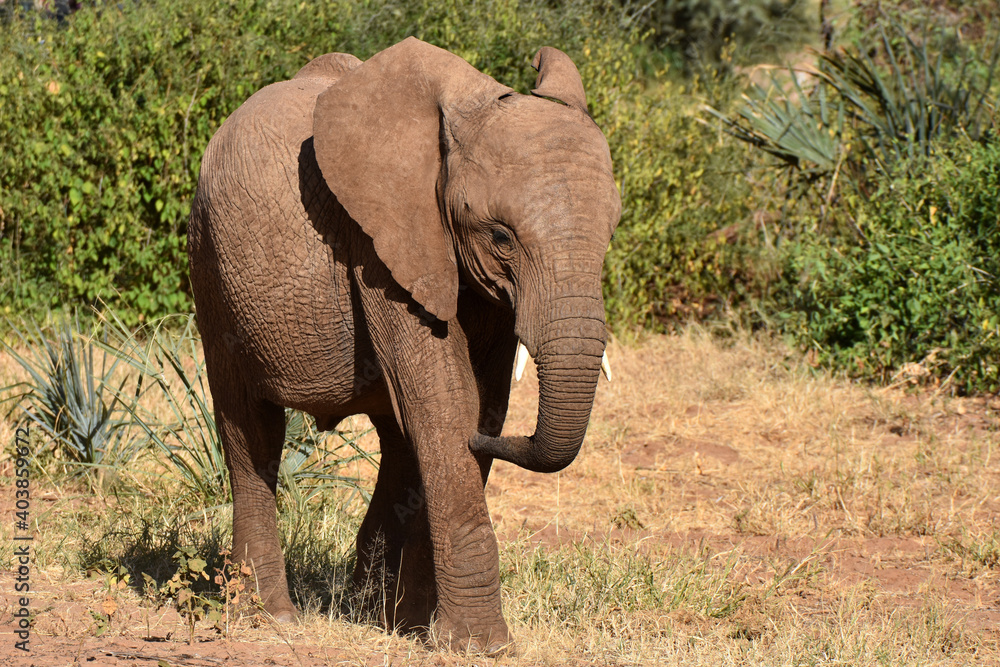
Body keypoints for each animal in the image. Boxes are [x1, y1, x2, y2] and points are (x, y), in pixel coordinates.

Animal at [188, 36, 620, 652]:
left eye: (611, 232)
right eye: (501, 236)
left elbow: (475, 404)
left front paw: (423, 631)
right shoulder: (378, 246)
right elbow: (444, 404)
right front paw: (479, 646)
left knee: (395, 438)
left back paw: (375, 611)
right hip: (211, 268)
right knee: (251, 431)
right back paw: (269, 619)